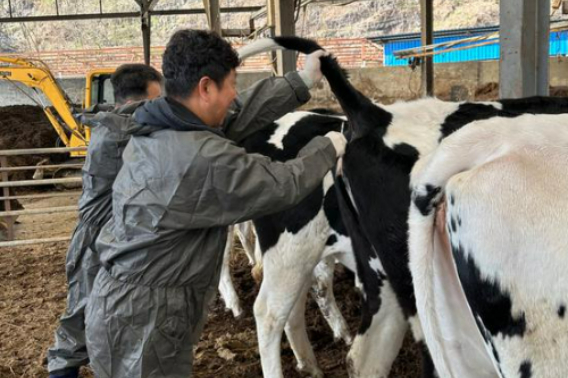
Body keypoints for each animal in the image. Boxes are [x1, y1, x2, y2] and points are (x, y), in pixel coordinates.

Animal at [244, 36, 568, 378]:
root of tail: (376, 113)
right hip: (293, 247)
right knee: (270, 312)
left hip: (382, 278)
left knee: (358, 350)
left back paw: (312, 363)